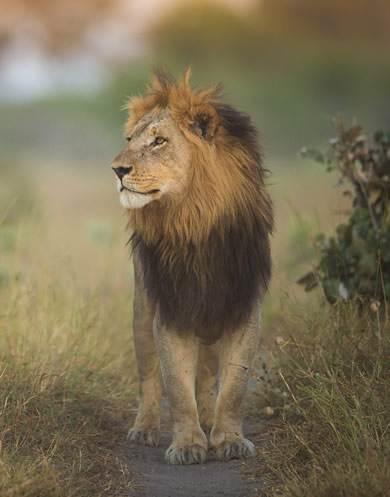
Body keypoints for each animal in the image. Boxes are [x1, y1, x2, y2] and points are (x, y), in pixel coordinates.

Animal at [111, 68, 272, 464]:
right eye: (129, 139)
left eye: (159, 141)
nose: (117, 169)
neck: (195, 220)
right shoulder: (171, 311)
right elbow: (177, 387)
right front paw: (186, 445)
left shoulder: (243, 309)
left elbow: (233, 387)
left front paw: (229, 440)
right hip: (142, 311)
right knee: (149, 378)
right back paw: (145, 428)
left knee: (208, 375)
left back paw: (210, 421)